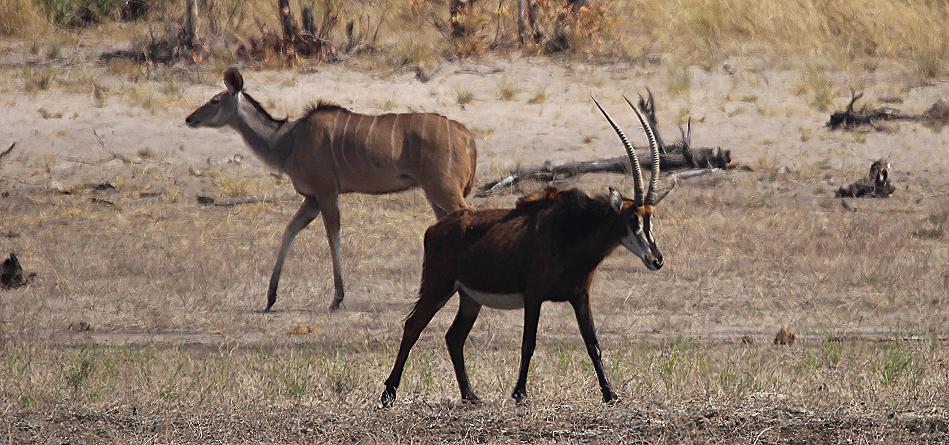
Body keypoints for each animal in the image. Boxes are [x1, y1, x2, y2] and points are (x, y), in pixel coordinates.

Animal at [186, 70, 478, 312]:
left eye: (214, 100)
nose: (190, 118)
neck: (288, 140)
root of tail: (466, 135)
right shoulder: (312, 198)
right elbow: (289, 231)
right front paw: (270, 298)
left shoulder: (326, 192)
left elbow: (332, 235)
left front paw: (337, 299)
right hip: (434, 193)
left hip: (443, 189)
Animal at [382, 94, 672, 406]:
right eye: (632, 218)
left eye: (650, 218)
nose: (656, 259)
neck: (571, 232)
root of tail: (434, 229)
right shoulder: (534, 295)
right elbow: (528, 343)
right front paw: (520, 393)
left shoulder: (580, 296)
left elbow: (593, 343)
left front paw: (610, 393)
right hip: (439, 286)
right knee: (413, 326)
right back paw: (388, 393)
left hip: (469, 298)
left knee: (454, 337)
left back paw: (470, 396)